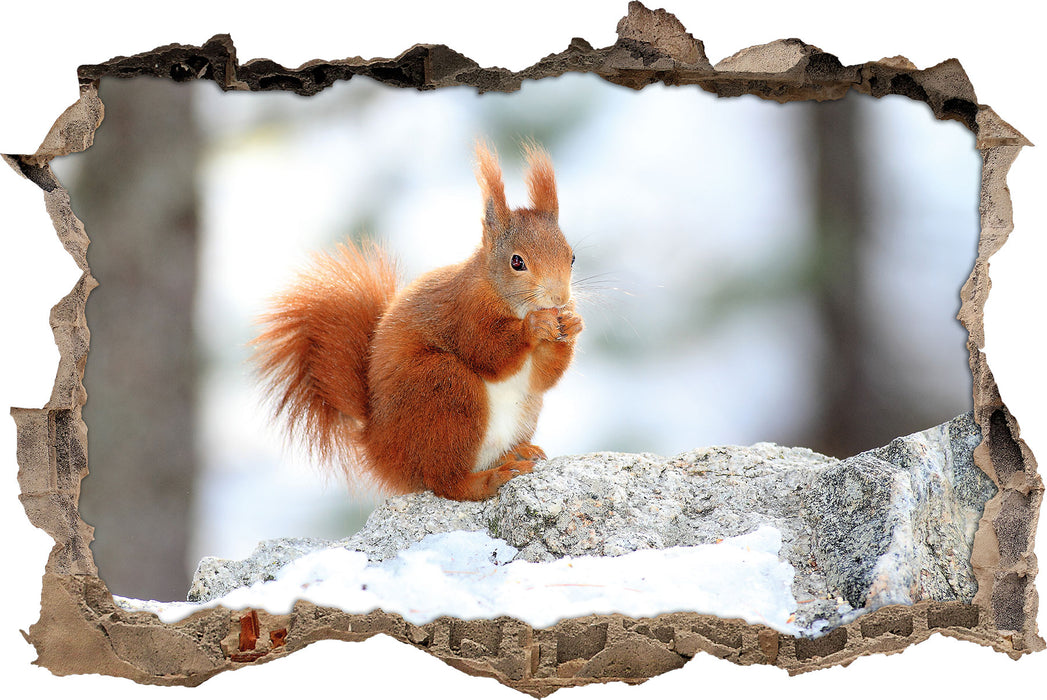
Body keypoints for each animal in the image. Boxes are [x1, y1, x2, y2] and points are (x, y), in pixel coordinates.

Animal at [250, 142, 586, 500]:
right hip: (443, 390)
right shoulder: (465, 313)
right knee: (446, 481)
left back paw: (517, 453)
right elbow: (489, 353)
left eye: (572, 257)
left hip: (519, 410)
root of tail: (379, 447)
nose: (560, 298)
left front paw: (573, 324)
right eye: (517, 262)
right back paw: (490, 478)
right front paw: (533, 327)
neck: (504, 296)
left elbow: (543, 378)